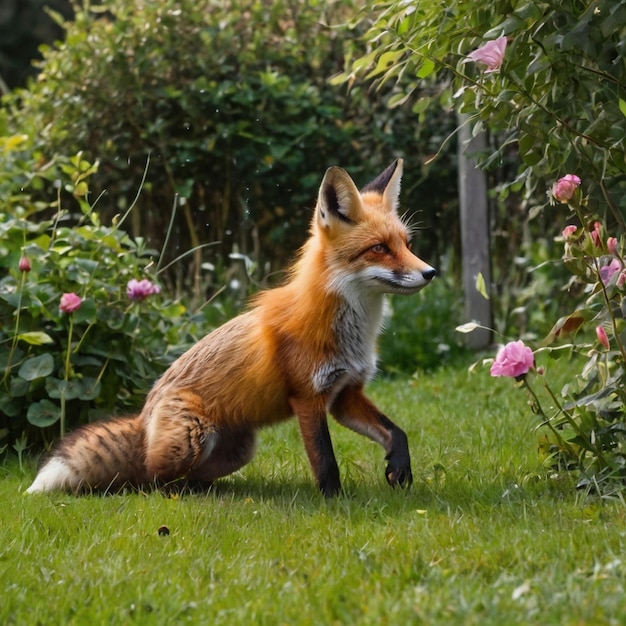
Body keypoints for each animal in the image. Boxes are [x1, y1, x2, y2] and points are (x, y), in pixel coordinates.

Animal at [28, 160, 434, 498]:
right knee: (150, 475)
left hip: (240, 449)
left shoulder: (345, 394)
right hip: (193, 437)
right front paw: (335, 503)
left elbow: (395, 431)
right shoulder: (308, 397)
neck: (352, 333)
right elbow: (325, 460)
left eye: (407, 244)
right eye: (379, 248)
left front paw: (400, 468)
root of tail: (144, 417)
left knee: (189, 476)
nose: (430, 272)